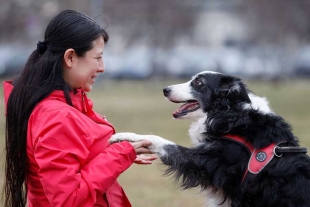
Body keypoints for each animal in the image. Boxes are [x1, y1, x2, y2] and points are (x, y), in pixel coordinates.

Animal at [109, 71, 310, 207]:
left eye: (198, 82)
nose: (165, 90)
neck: (230, 114)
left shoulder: (209, 160)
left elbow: (160, 140)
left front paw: (124, 136)